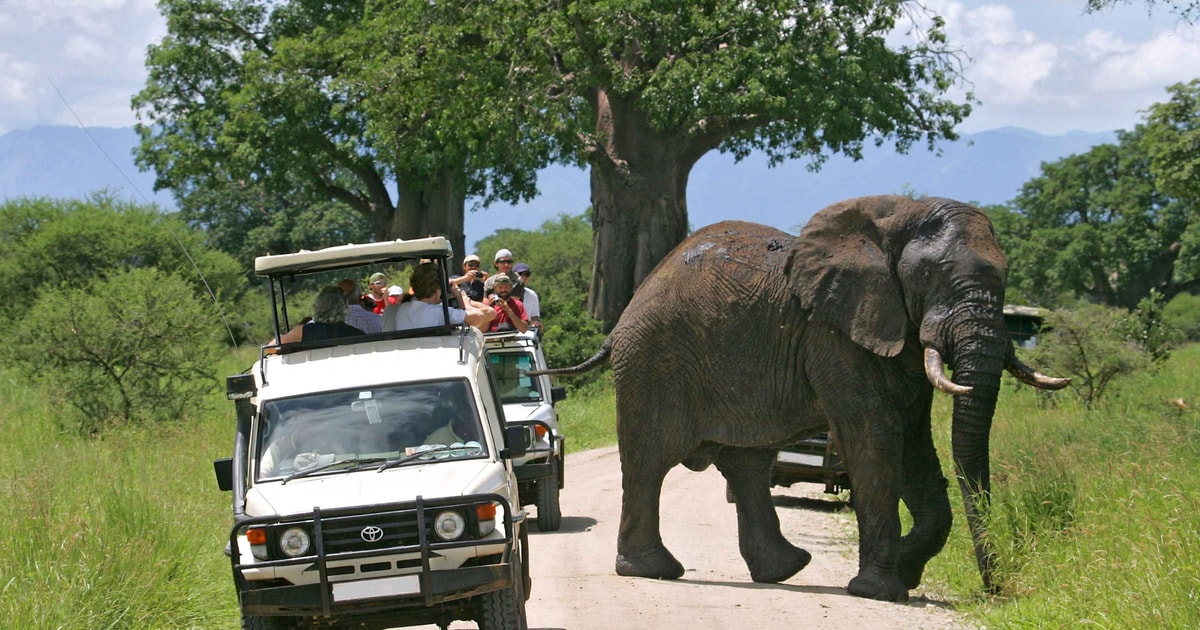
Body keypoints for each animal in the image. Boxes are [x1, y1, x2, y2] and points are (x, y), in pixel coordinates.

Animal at [535, 193, 1070, 600]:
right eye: (928, 277)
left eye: (1006, 276)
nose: (994, 590)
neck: (896, 218)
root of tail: (623, 316)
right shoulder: (832, 335)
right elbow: (876, 441)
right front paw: (880, 591)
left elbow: (915, 445)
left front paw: (904, 570)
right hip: (652, 363)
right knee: (651, 460)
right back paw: (654, 571)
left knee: (746, 464)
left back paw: (784, 570)